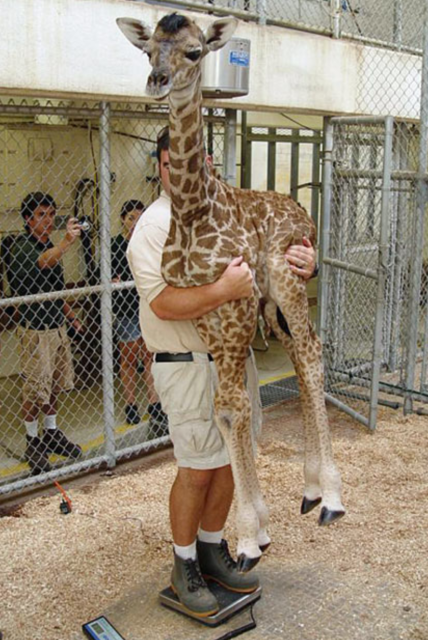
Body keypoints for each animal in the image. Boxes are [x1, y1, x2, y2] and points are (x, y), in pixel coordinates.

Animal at [117, 12, 345, 572]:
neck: (192, 212)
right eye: (148, 50)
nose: (157, 81)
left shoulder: (236, 303)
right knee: (300, 358)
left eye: (195, 51)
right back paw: (310, 490)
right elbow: (225, 408)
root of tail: (303, 213)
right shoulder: (207, 313)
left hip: (285, 279)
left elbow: (236, 406)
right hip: (273, 310)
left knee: (313, 355)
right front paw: (255, 531)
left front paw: (244, 540)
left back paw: (331, 497)